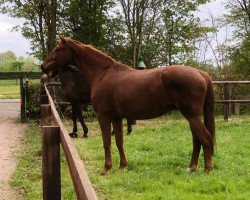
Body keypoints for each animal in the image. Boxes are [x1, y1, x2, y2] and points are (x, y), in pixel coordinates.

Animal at [41, 36, 215, 175]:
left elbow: (106, 142)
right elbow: (119, 141)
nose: (42, 66)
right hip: (191, 115)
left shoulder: (103, 116)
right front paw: (122, 166)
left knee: (205, 138)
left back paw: (207, 168)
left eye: (58, 49)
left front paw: (106, 168)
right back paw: (192, 167)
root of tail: (200, 73)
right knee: (197, 139)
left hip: (192, 115)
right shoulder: (117, 117)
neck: (102, 73)